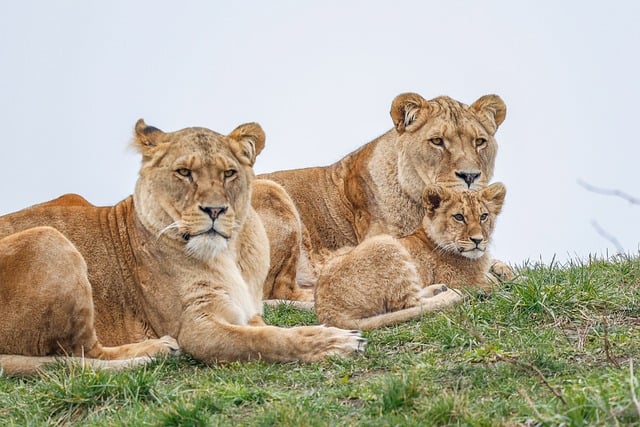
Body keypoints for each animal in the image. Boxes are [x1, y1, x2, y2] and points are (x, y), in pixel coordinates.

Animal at [0, 120, 364, 376]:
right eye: (184, 173)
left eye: (229, 173)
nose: (215, 210)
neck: (228, 254)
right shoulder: (194, 328)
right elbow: (268, 339)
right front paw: (336, 341)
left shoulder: (245, 311)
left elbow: (279, 328)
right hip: (49, 239)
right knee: (82, 353)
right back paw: (155, 350)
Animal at [254, 92, 511, 302]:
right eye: (437, 141)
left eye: (480, 142)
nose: (470, 175)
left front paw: (502, 269)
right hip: (272, 191)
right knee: (279, 291)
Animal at [314, 182, 507, 330]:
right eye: (459, 217)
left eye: (483, 216)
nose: (478, 240)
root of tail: (327, 313)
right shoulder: (462, 280)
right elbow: (491, 283)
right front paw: (494, 278)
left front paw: (502, 270)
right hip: (385, 242)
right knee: (409, 305)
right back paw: (450, 294)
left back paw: (438, 289)